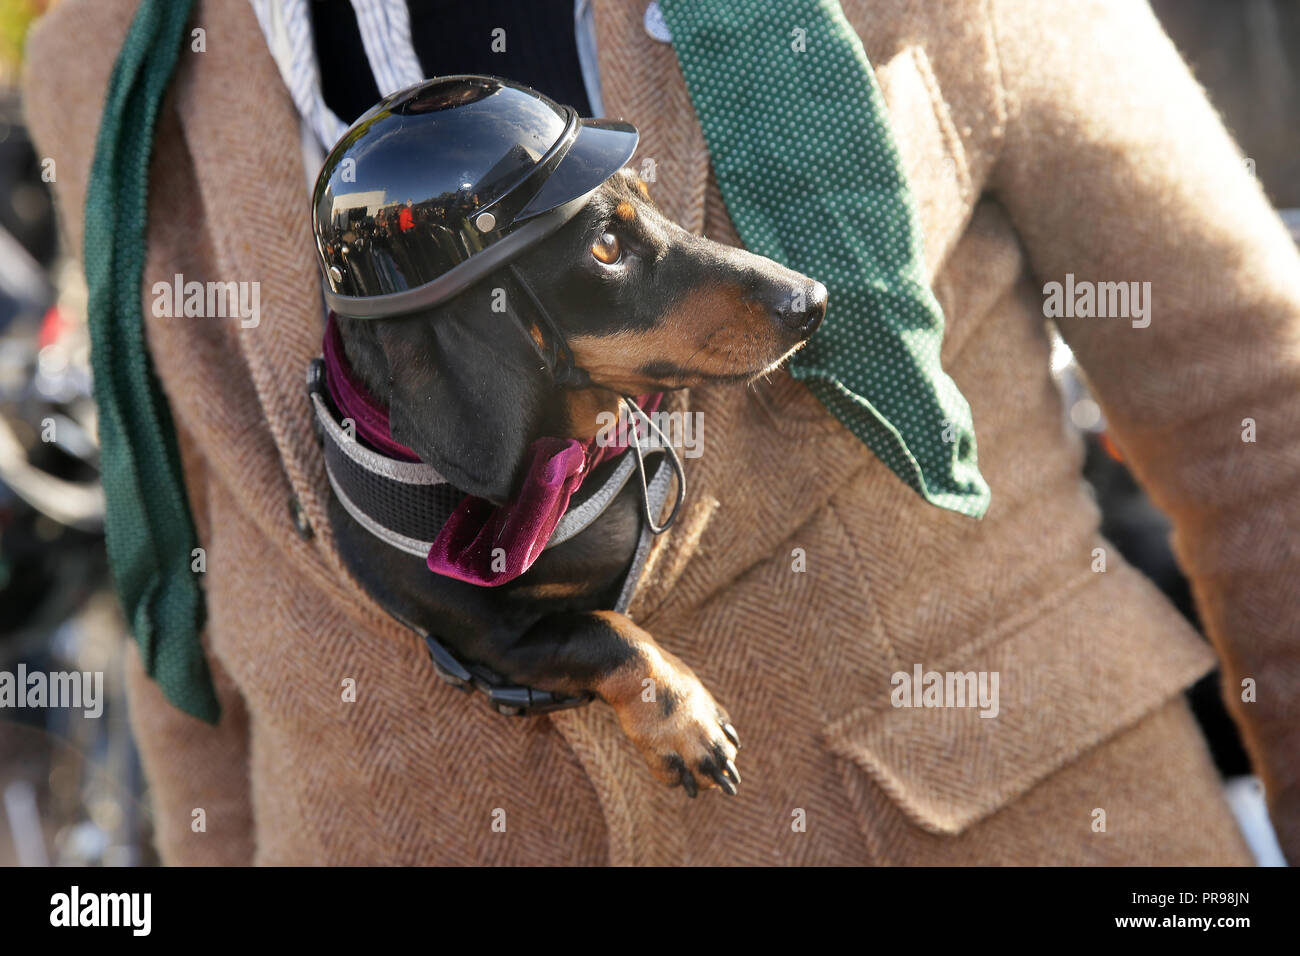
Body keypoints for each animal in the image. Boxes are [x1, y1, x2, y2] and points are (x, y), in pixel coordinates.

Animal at [330, 167, 826, 796]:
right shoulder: (493, 640)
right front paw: (683, 719)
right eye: (606, 247)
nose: (815, 300)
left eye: (651, 198)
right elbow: (602, 631)